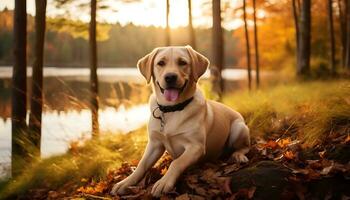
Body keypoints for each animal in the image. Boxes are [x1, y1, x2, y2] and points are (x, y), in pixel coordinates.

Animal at [110, 45, 250, 197]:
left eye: (182, 62)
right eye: (161, 63)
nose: (170, 77)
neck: (171, 109)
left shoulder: (196, 146)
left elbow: (177, 162)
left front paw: (164, 182)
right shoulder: (155, 144)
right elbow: (142, 164)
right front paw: (125, 182)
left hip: (239, 128)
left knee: (245, 147)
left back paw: (238, 156)